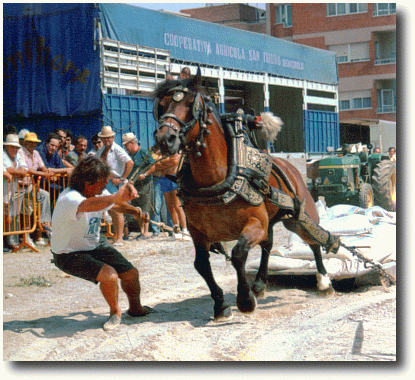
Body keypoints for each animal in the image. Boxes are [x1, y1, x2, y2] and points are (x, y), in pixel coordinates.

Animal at [154, 69, 336, 320]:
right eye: (161, 106)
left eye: (192, 104)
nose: (165, 139)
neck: (218, 178)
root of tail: (289, 166)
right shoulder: (197, 231)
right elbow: (201, 264)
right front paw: (220, 304)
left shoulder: (255, 223)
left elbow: (239, 254)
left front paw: (245, 299)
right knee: (268, 245)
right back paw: (259, 284)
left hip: (299, 216)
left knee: (315, 240)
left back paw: (323, 281)